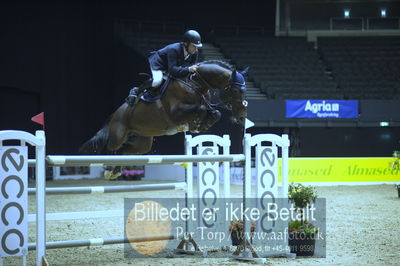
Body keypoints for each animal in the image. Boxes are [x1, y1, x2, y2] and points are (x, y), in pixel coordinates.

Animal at [79, 60, 247, 162]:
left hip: (142, 144)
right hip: (118, 136)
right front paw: (195, 125)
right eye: (235, 91)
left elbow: (215, 113)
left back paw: (114, 171)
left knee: (123, 152)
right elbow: (200, 109)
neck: (196, 84)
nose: (241, 117)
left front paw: (201, 125)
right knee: (111, 149)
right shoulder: (176, 114)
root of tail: (115, 114)